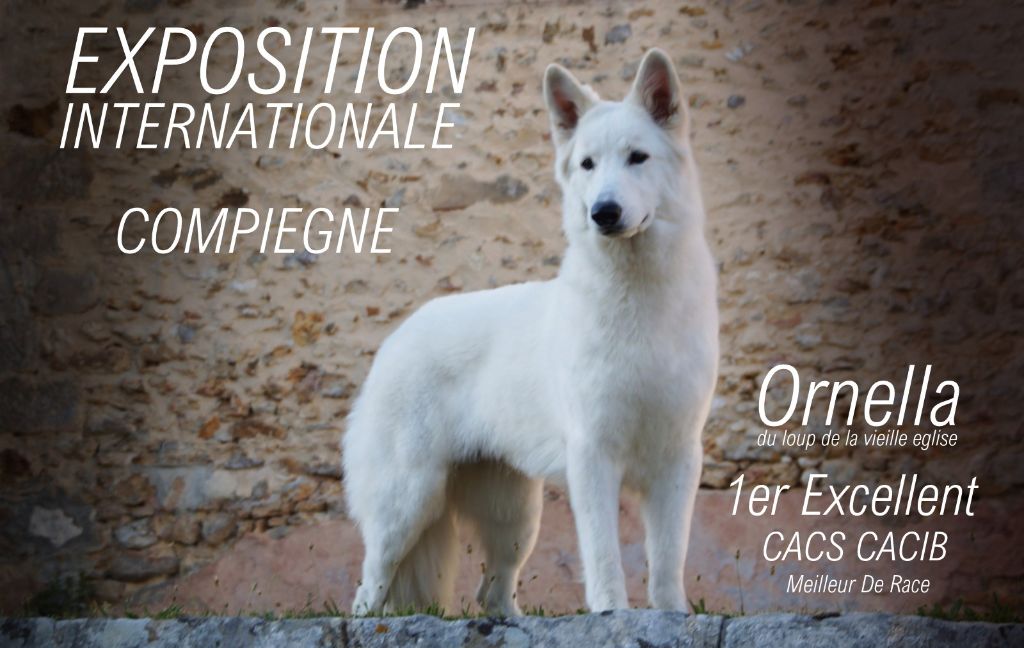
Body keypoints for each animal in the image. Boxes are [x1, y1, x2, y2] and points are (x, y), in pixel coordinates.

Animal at [343, 49, 719, 615]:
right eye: (587, 165)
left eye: (638, 158)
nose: (603, 213)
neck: (638, 297)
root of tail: (398, 335)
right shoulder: (592, 456)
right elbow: (604, 554)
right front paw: (612, 614)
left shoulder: (678, 456)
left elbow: (668, 557)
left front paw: (673, 616)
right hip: (408, 500)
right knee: (371, 583)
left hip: (516, 517)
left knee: (492, 590)